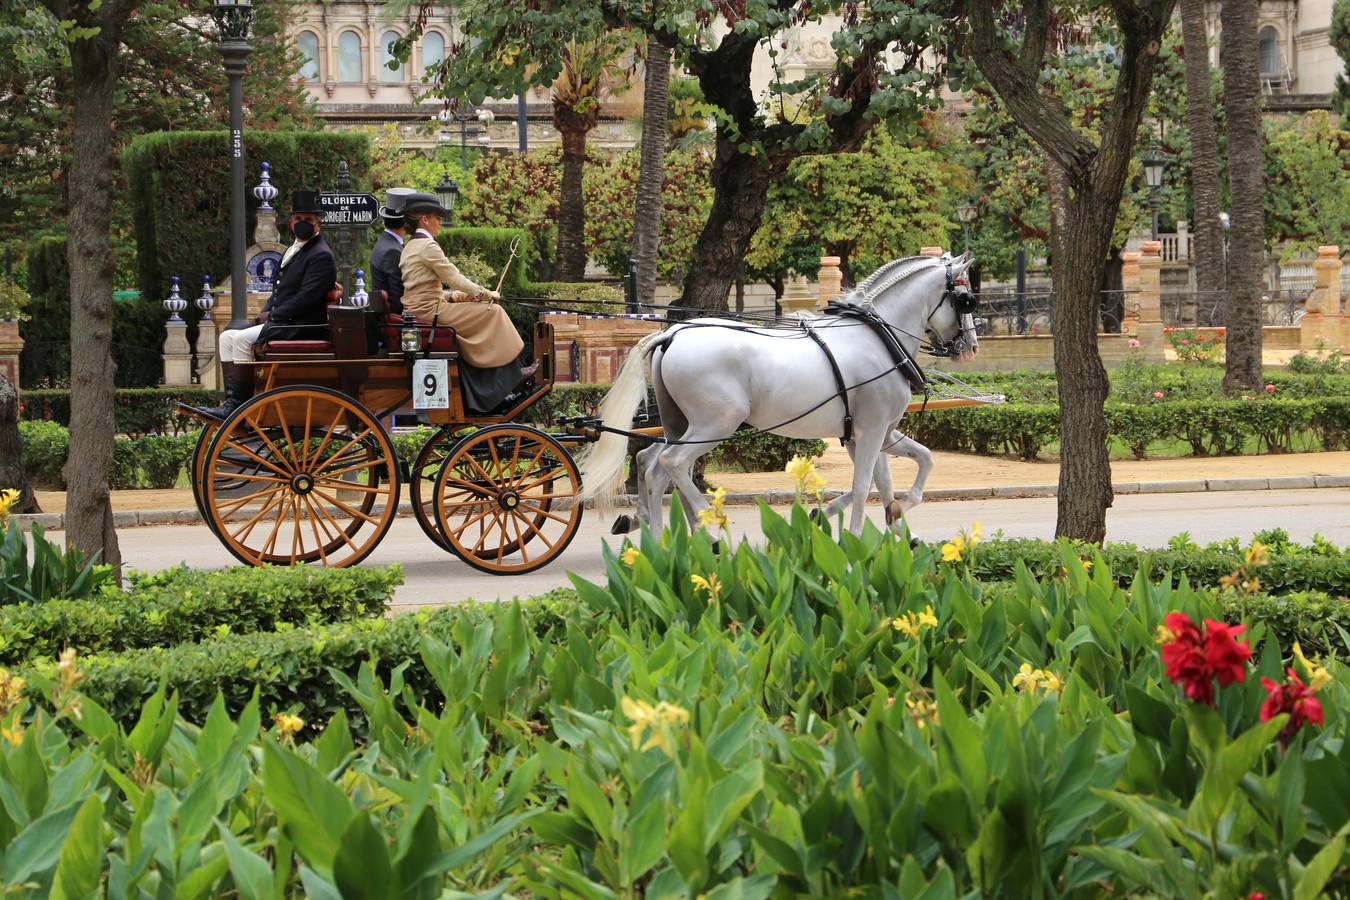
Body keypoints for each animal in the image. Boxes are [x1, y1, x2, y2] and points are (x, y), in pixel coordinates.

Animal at [580, 253, 982, 534]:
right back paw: (709, 529)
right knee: (672, 463)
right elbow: (863, 484)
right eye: (966, 299)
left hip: (678, 424)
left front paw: (898, 527)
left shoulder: (875, 433)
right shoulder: (871, 431)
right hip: (715, 425)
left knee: (651, 463)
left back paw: (661, 535)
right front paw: (855, 536)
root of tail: (672, 334)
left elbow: (903, 471)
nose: (971, 347)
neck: (876, 336)